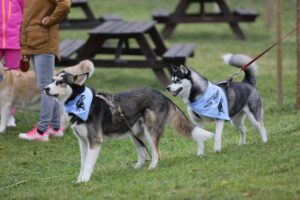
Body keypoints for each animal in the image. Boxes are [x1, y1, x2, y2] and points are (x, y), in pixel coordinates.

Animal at [44, 71, 213, 182]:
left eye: (60, 82)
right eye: (52, 80)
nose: (45, 88)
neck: (80, 102)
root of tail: (162, 95)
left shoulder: (94, 141)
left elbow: (87, 164)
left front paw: (85, 180)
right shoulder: (83, 142)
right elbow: (82, 163)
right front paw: (80, 180)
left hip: (150, 131)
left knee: (156, 153)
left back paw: (152, 167)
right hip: (134, 133)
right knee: (143, 154)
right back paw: (137, 169)